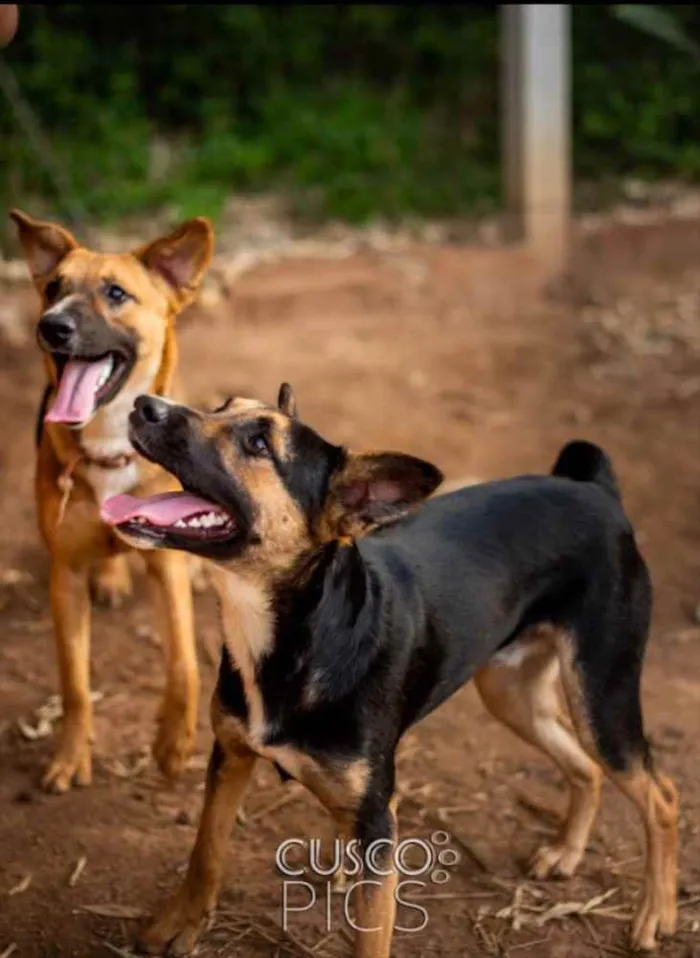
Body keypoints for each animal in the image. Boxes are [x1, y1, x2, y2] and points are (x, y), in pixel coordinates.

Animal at [10, 210, 213, 796]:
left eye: (116, 293)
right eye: (52, 289)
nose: (51, 326)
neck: (109, 445)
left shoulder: (165, 565)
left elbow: (185, 663)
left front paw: (172, 745)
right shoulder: (65, 574)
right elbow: (75, 684)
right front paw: (70, 756)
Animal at [101, 386, 676, 956]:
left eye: (259, 444)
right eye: (223, 407)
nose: (143, 405)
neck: (296, 634)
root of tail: (597, 493)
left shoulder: (378, 823)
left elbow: (370, 935)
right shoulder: (231, 757)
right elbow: (206, 853)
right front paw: (179, 924)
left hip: (602, 698)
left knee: (660, 796)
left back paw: (656, 914)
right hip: (510, 693)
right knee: (586, 768)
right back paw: (565, 853)